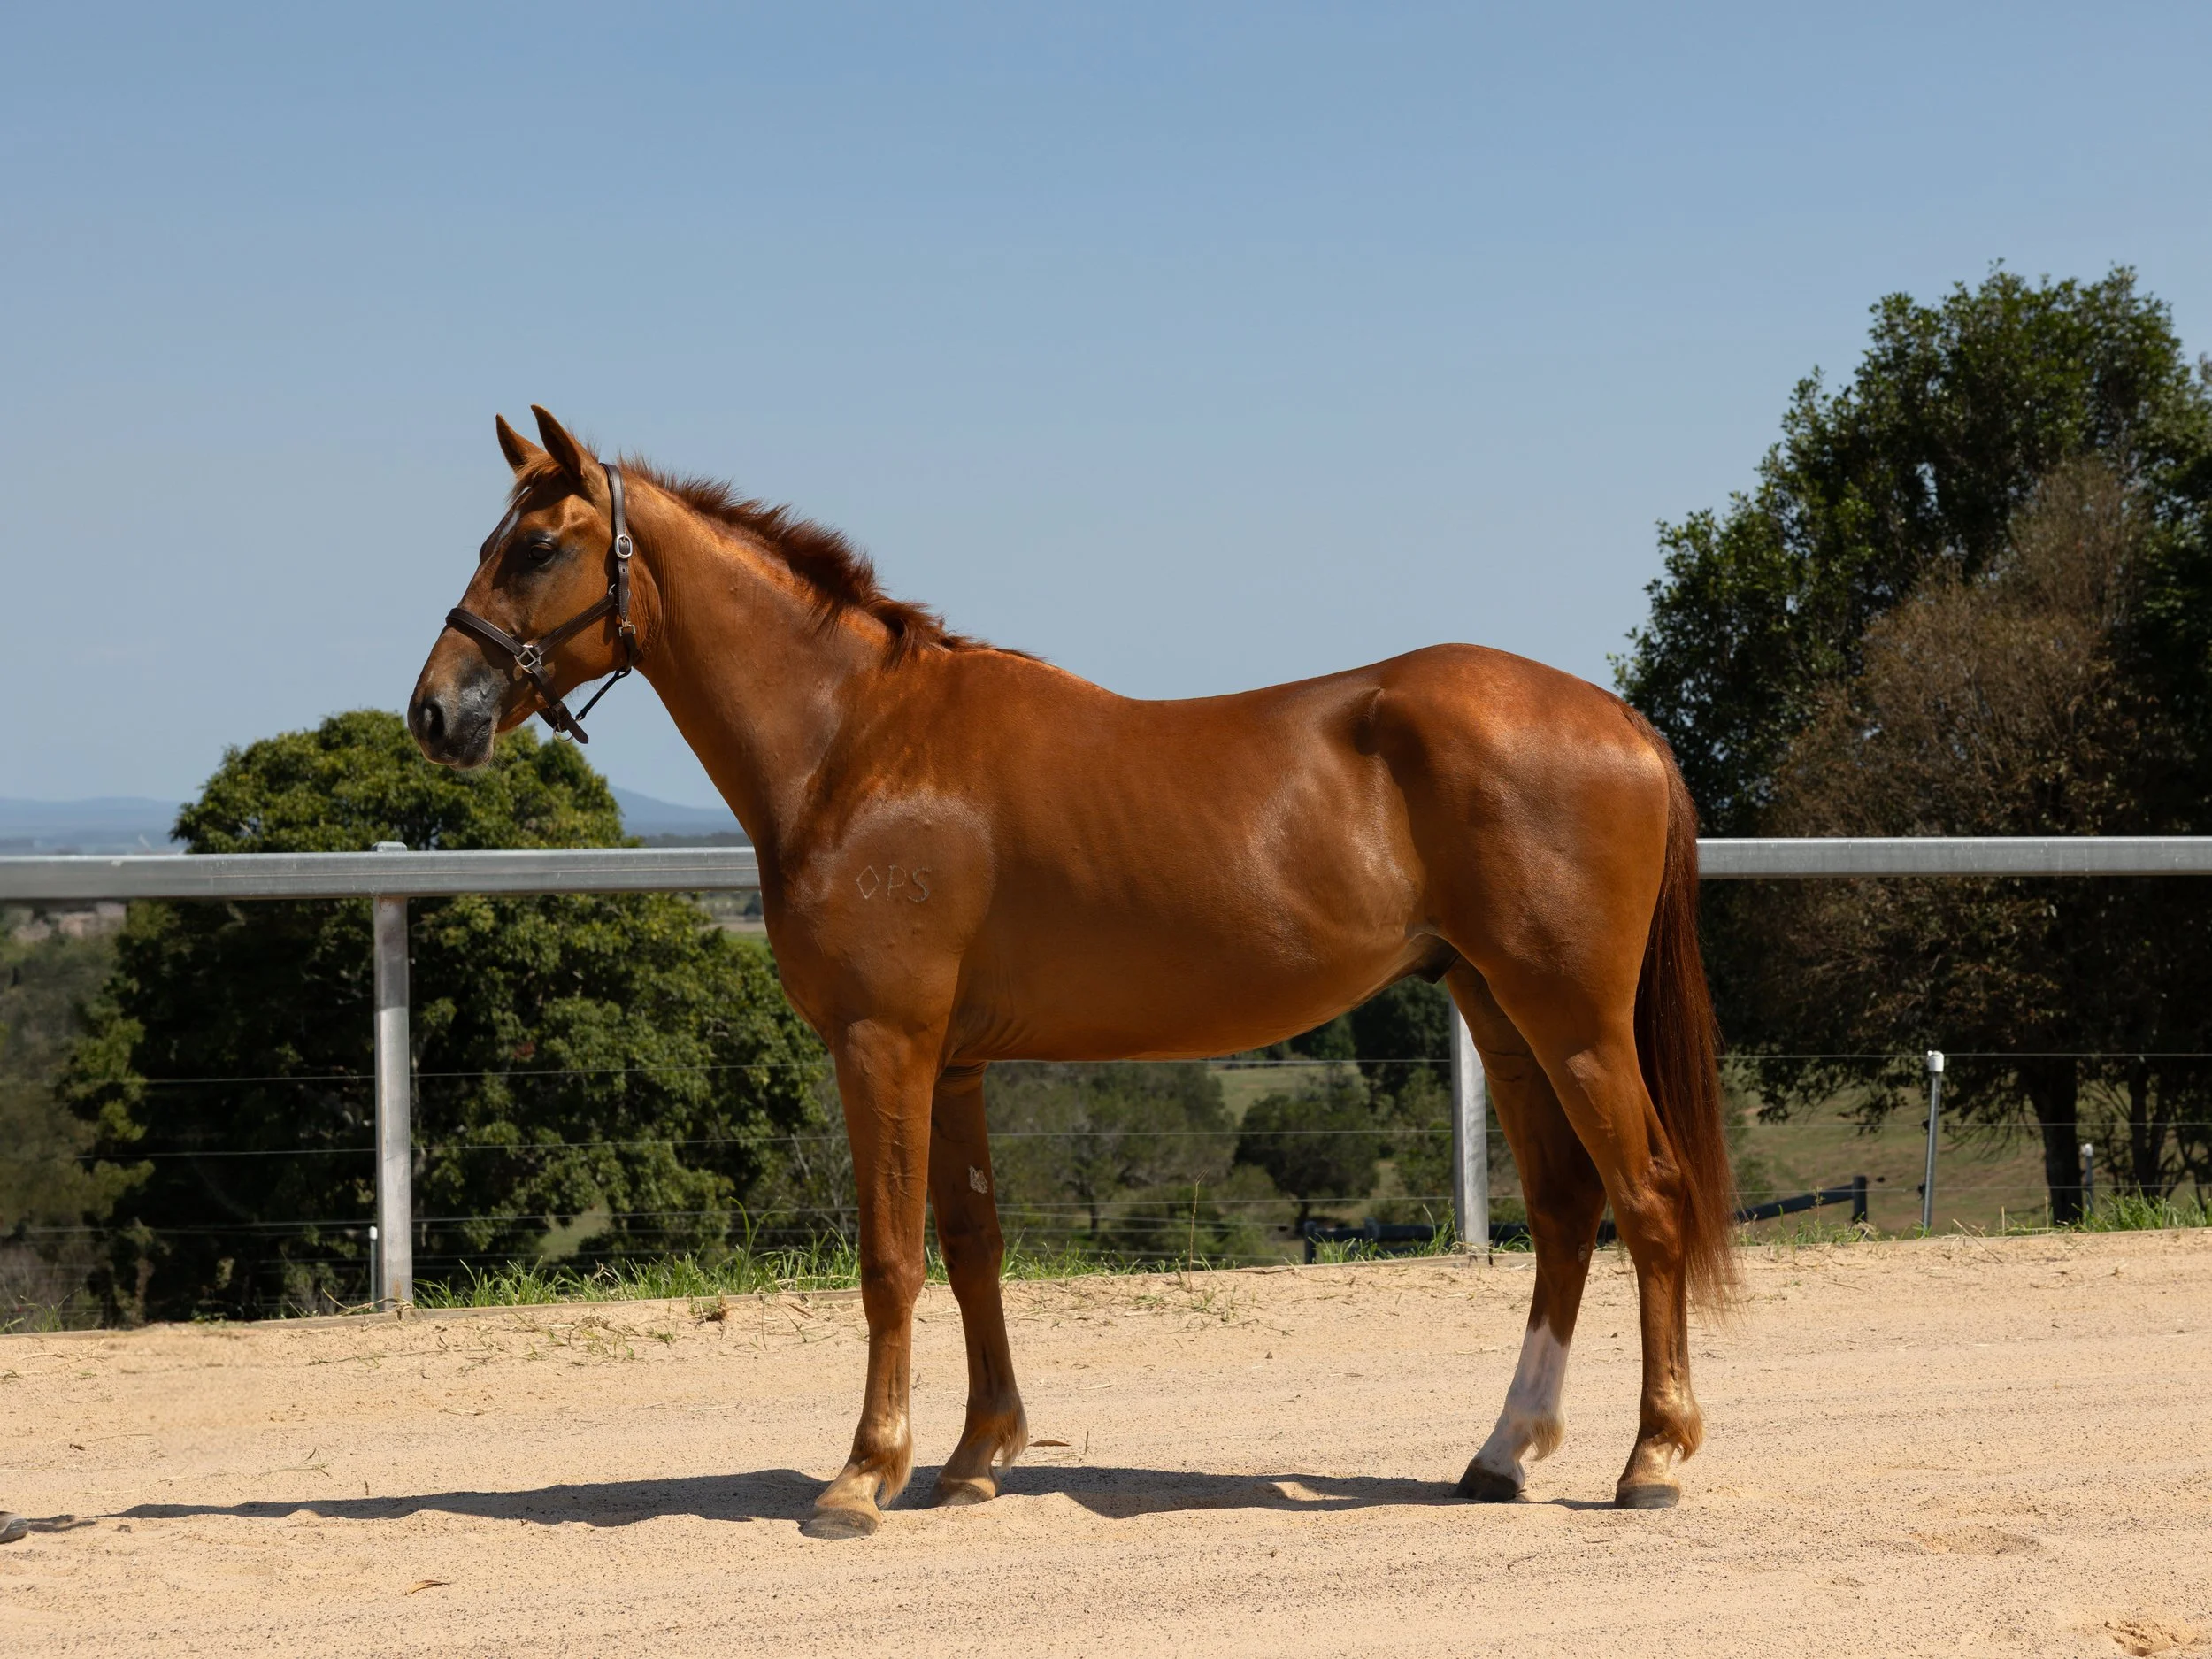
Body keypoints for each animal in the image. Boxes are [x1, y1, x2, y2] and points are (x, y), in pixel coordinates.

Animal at [408, 406, 1737, 1538]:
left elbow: (889, 1259)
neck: (859, 743)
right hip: (1497, 1010)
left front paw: (863, 1473)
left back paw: (1654, 1458)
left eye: (535, 547)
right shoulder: (952, 1063)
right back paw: (1504, 1452)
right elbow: (971, 1244)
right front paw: (972, 1456)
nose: (433, 713)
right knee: (1564, 1210)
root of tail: (1621, 720)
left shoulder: (882, 1043)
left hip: (1573, 1020)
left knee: (1650, 1197)